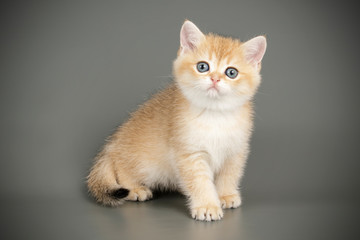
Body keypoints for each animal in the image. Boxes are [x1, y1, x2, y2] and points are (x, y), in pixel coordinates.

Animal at [88, 20, 268, 221]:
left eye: (231, 72)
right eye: (203, 67)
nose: (214, 79)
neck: (214, 114)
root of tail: (111, 146)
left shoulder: (235, 151)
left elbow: (229, 174)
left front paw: (225, 195)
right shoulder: (189, 153)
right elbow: (199, 181)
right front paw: (207, 205)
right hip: (142, 163)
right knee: (122, 168)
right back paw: (135, 188)